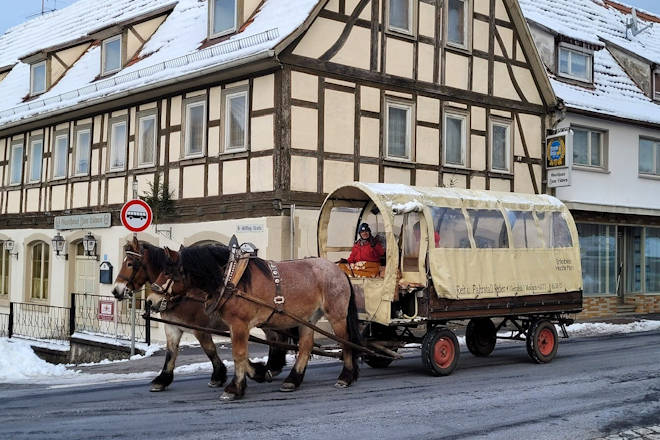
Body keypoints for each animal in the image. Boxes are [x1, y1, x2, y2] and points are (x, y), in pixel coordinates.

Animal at [111, 237, 288, 392]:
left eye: (129, 263)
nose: (115, 291)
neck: (184, 295)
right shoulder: (172, 327)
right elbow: (171, 353)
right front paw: (162, 379)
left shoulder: (200, 329)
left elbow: (210, 350)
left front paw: (221, 376)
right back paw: (275, 365)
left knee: (276, 338)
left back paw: (274, 366)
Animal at [153, 246, 360, 400]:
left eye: (167, 272)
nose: (152, 301)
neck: (231, 279)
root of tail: (338, 270)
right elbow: (240, 354)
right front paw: (256, 374)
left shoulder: (239, 324)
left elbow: (238, 354)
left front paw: (234, 388)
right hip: (308, 318)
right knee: (305, 346)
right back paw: (293, 379)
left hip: (337, 315)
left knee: (346, 343)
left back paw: (346, 376)